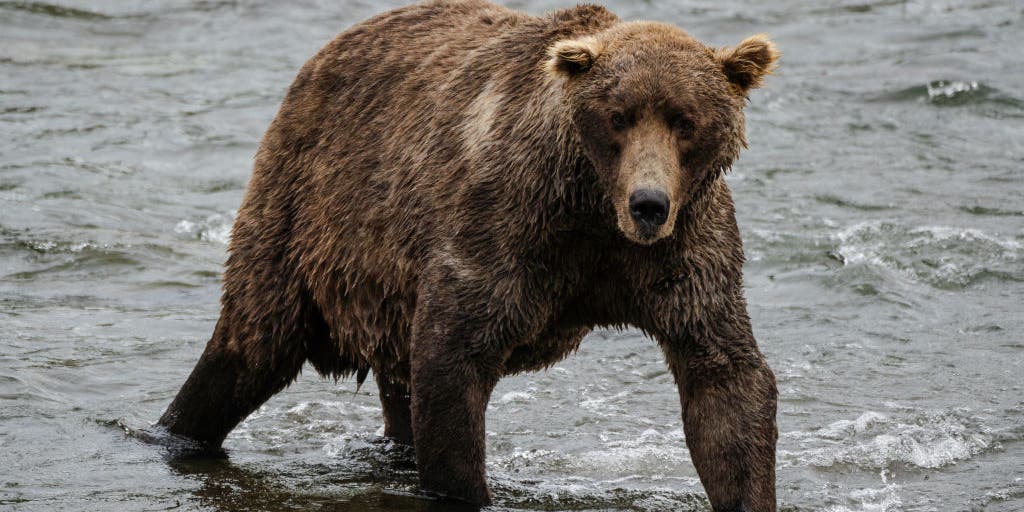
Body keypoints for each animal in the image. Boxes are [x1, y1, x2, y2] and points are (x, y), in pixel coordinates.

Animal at [157, 1, 781, 510]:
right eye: (618, 116)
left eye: (685, 121)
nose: (648, 203)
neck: (592, 208)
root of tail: (331, 48)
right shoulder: (507, 225)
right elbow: (454, 357)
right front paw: (468, 490)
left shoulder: (684, 253)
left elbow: (724, 379)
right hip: (308, 213)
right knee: (251, 343)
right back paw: (175, 432)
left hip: (386, 293)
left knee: (395, 380)